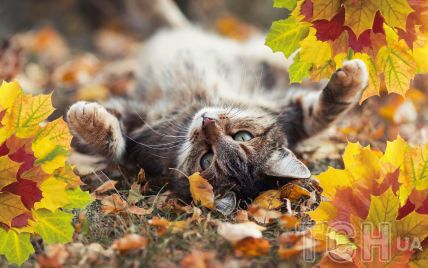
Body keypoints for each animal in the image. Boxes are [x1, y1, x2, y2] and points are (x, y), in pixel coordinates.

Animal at [66, 25, 368, 202]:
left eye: (206, 160)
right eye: (244, 136)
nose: (207, 121)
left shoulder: (140, 133)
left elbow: (112, 144)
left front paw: (86, 120)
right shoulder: (288, 114)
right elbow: (321, 111)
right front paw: (351, 79)